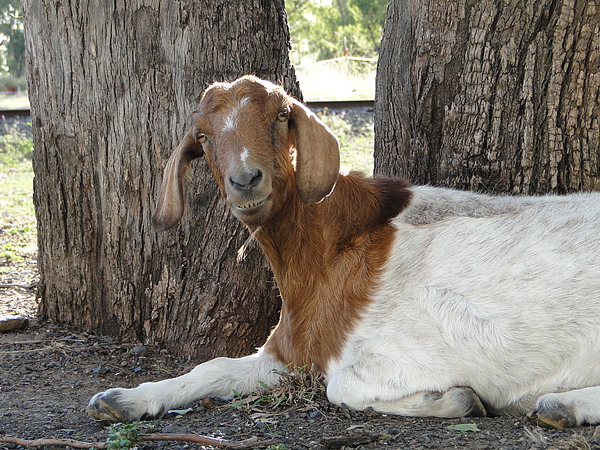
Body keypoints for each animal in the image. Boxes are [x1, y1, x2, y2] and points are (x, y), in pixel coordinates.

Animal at [88, 75, 600, 428]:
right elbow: (211, 367)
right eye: (204, 137)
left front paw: (456, 399)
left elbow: (340, 387)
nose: (245, 180)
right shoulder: (292, 353)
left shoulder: (403, 356)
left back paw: (563, 405)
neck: (323, 254)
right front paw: (123, 398)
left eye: (279, 118)